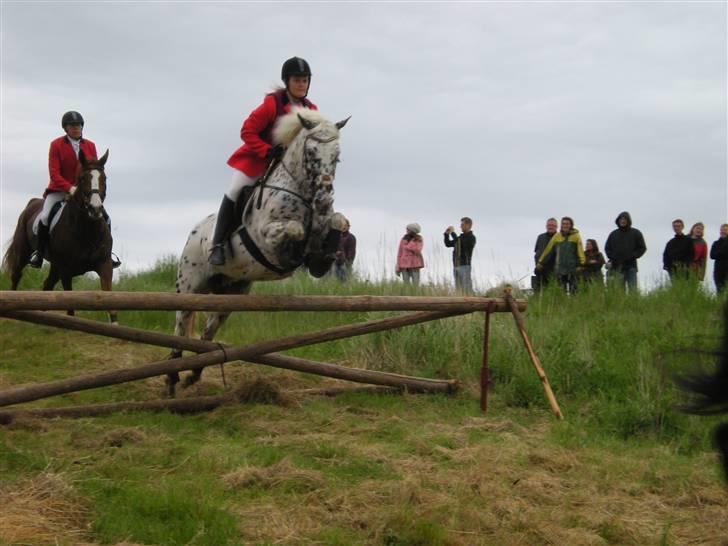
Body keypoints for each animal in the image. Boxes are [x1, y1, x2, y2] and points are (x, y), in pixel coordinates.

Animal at [2, 148, 118, 324]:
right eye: (82, 179)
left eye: (104, 178)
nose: (95, 209)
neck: (87, 231)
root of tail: (32, 202)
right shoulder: (65, 270)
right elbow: (70, 307)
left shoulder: (104, 264)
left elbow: (109, 298)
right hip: (24, 250)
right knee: (16, 274)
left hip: (55, 266)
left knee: (47, 286)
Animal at [166, 107, 348, 396]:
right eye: (311, 153)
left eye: (337, 157)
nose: (324, 200)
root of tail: (194, 231)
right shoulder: (266, 237)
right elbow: (295, 229)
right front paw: (293, 255)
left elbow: (337, 221)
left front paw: (321, 255)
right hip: (188, 286)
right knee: (181, 326)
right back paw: (172, 377)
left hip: (231, 295)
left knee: (207, 333)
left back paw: (193, 374)